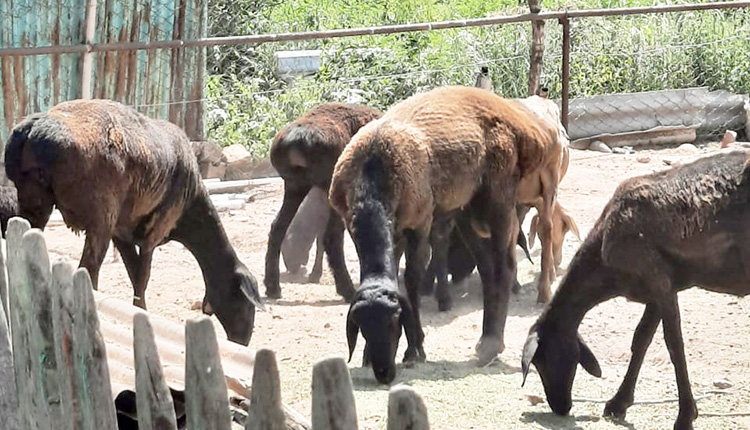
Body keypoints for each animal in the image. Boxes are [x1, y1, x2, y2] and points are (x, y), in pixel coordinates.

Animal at [5, 98, 262, 346]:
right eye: (244, 304)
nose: (243, 340)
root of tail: (33, 129)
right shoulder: (154, 232)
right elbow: (142, 277)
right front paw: (141, 312)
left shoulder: (122, 234)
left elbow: (133, 271)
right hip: (100, 216)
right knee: (88, 270)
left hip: (34, 201)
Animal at [264, 102, 382, 300]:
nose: (293, 267)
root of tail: (296, 143)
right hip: (328, 186)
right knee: (332, 237)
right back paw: (347, 289)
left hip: (296, 185)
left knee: (277, 227)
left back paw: (272, 287)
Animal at [332, 85, 560, 382]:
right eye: (362, 327)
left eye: (395, 323)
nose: (383, 373)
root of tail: (527, 126)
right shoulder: (364, 224)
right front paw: (368, 357)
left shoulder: (420, 222)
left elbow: (412, 280)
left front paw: (415, 349)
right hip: (467, 209)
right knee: (488, 269)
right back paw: (488, 340)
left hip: (499, 197)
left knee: (504, 266)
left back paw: (491, 343)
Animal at [520, 150, 750, 430]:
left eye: (542, 361)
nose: (560, 407)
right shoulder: (659, 288)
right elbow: (641, 339)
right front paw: (619, 403)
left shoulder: (658, 280)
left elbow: (674, 345)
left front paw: (685, 416)